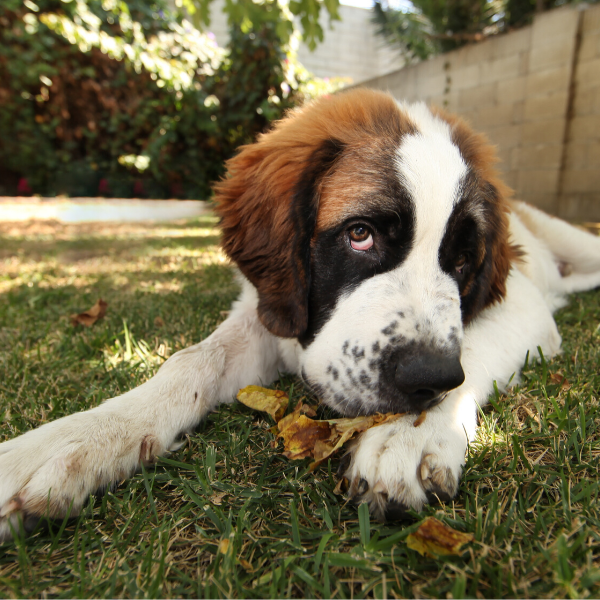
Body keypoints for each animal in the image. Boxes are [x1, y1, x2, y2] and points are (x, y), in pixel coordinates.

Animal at [1, 85, 600, 540]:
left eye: (461, 260)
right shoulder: (267, 310)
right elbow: (191, 360)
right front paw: (80, 438)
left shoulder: (523, 307)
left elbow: (470, 350)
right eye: (360, 235)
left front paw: (413, 434)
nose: (427, 379)